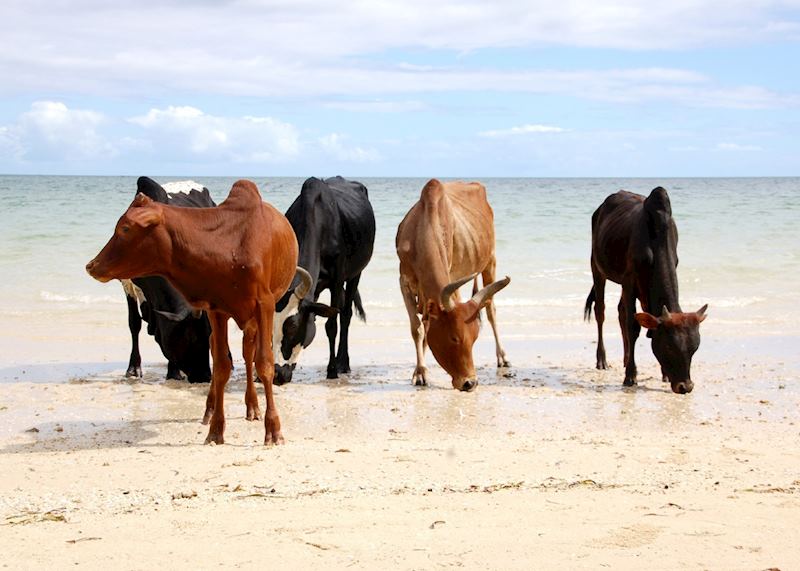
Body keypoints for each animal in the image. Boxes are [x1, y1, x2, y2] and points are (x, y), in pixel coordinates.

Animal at [121, 176, 214, 383]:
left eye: (208, 335)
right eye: (191, 338)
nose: (204, 376)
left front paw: (173, 371)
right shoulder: (126, 282)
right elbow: (134, 324)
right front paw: (133, 368)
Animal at [272, 176, 376, 384]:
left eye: (292, 326)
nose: (277, 374)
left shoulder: (337, 280)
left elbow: (331, 325)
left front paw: (332, 370)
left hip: (355, 274)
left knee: (345, 315)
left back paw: (343, 363)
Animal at [396, 179, 511, 392]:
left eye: (474, 339)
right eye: (454, 337)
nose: (470, 382)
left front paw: (422, 370)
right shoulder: (404, 282)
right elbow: (418, 328)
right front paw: (420, 372)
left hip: (490, 262)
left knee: (491, 310)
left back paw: (502, 356)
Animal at [584, 187, 708, 394]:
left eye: (694, 348)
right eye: (669, 347)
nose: (685, 386)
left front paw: (664, 374)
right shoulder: (629, 282)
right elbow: (633, 326)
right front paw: (630, 377)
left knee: (620, 311)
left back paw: (626, 359)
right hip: (597, 268)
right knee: (600, 311)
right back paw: (602, 360)